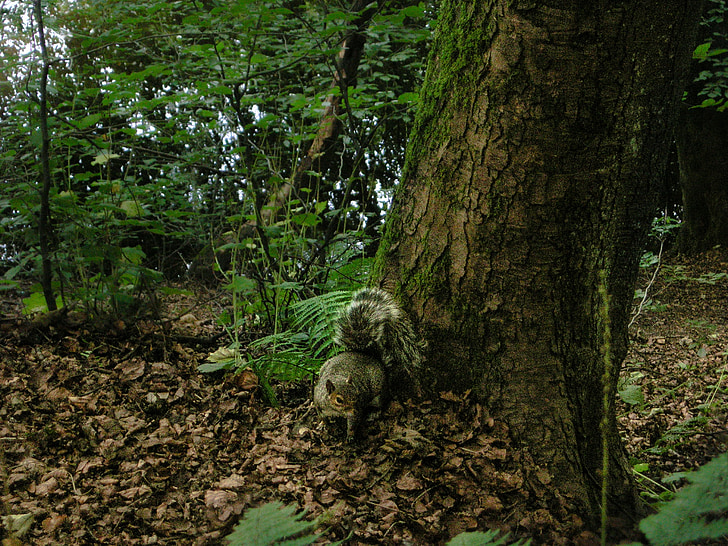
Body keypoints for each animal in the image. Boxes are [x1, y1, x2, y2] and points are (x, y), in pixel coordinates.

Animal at [314, 286, 426, 440]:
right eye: (339, 400)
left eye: (357, 394)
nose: (355, 411)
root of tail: (372, 357)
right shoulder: (318, 402)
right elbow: (321, 416)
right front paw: (323, 424)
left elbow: (353, 423)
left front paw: (350, 435)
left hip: (378, 393)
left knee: (381, 404)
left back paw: (373, 413)